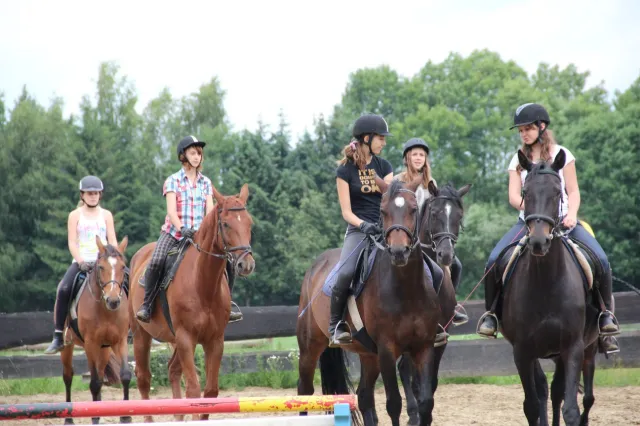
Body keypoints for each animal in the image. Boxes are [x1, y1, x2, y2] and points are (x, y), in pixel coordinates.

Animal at [59, 236, 131, 425]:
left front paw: (126, 416)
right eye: (101, 267)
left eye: (122, 266)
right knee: (68, 376)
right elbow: (94, 383)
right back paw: (69, 418)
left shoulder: (120, 341)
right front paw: (95, 416)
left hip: (104, 350)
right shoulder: (91, 344)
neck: (105, 309)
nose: (113, 301)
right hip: (67, 346)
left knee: (99, 373)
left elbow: (125, 375)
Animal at [128, 184, 255, 422]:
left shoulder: (214, 341)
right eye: (225, 224)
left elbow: (211, 392)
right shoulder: (186, 338)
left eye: (249, 222)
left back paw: (178, 416)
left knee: (172, 370)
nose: (246, 264)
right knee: (143, 378)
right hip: (142, 335)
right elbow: (194, 390)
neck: (202, 284)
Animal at [297, 177, 441, 426]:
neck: (407, 289)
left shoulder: (424, 346)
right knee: (303, 392)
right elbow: (394, 404)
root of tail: (315, 266)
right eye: (383, 212)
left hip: (368, 355)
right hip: (309, 347)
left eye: (414, 209)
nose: (399, 252)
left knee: (363, 396)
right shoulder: (386, 349)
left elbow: (425, 402)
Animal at [397, 181, 471, 426]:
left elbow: (432, 382)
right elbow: (416, 383)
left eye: (459, 215)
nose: (446, 254)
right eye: (435, 213)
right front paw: (418, 415)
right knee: (404, 371)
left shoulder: (440, 337)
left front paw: (426, 415)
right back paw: (411, 414)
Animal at [495, 149, 600, 426]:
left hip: (588, 347)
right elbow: (532, 405)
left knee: (572, 395)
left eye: (557, 192)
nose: (539, 242)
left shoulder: (572, 347)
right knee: (546, 390)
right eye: (525, 192)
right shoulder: (522, 351)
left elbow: (570, 409)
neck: (547, 283)